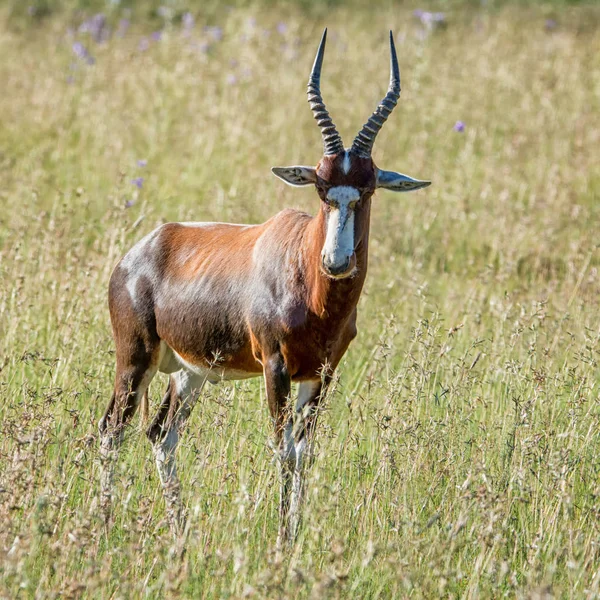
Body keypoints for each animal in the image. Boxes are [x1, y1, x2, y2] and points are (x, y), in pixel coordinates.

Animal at [98, 29, 428, 544]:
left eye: (369, 188)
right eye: (320, 188)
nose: (336, 263)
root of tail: (138, 253)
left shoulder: (322, 374)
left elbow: (304, 453)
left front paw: (294, 536)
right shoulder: (275, 367)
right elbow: (282, 450)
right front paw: (281, 539)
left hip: (188, 372)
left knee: (160, 435)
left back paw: (180, 533)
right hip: (135, 360)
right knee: (112, 431)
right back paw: (105, 524)